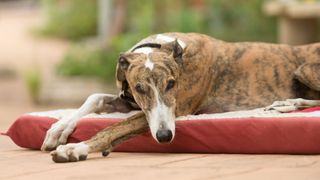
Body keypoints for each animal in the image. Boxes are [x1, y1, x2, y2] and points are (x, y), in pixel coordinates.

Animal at [40, 32, 320, 163]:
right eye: (139, 88)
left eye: (172, 83)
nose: (165, 136)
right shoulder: (133, 101)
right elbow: (94, 97)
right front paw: (59, 128)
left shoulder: (176, 109)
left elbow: (112, 129)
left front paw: (75, 148)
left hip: (305, 67)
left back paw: (289, 103)